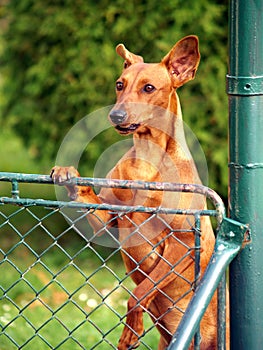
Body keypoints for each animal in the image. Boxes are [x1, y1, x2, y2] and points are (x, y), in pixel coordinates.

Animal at [50, 37, 228, 348]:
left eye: (149, 88)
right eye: (119, 84)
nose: (116, 115)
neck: (148, 160)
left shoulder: (182, 243)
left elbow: (139, 292)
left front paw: (131, 330)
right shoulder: (110, 222)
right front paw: (68, 174)